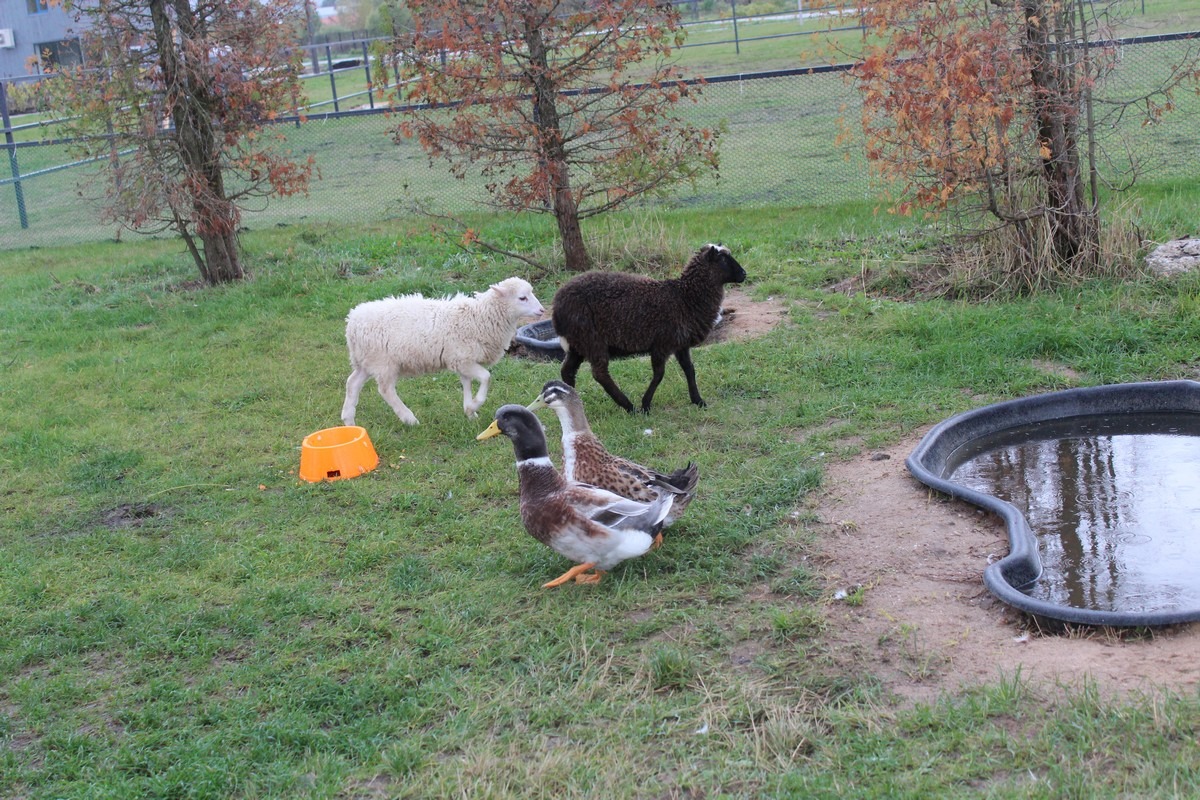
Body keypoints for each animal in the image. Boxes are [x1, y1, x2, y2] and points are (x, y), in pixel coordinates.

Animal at [341, 277, 545, 426]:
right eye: (522, 298)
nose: (542, 310)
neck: (480, 317)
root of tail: (352, 322)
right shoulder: (463, 359)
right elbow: (486, 377)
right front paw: (476, 404)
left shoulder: (462, 361)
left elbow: (467, 384)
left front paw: (469, 411)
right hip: (384, 362)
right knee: (385, 390)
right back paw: (409, 418)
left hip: (366, 361)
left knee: (352, 383)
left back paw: (349, 420)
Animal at [551, 243, 747, 413]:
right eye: (722, 259)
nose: (744, 274)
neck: (685, 298)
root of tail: (557, 305)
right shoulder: (662, 343)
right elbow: (659, 374)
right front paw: (645, 405)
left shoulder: (681, 343)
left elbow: (690, 370)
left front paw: (698, 400)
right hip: (591, 338)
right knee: (600, 373)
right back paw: (629, 407)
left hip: (578, 343)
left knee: (567, 371)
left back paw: (572, 402)